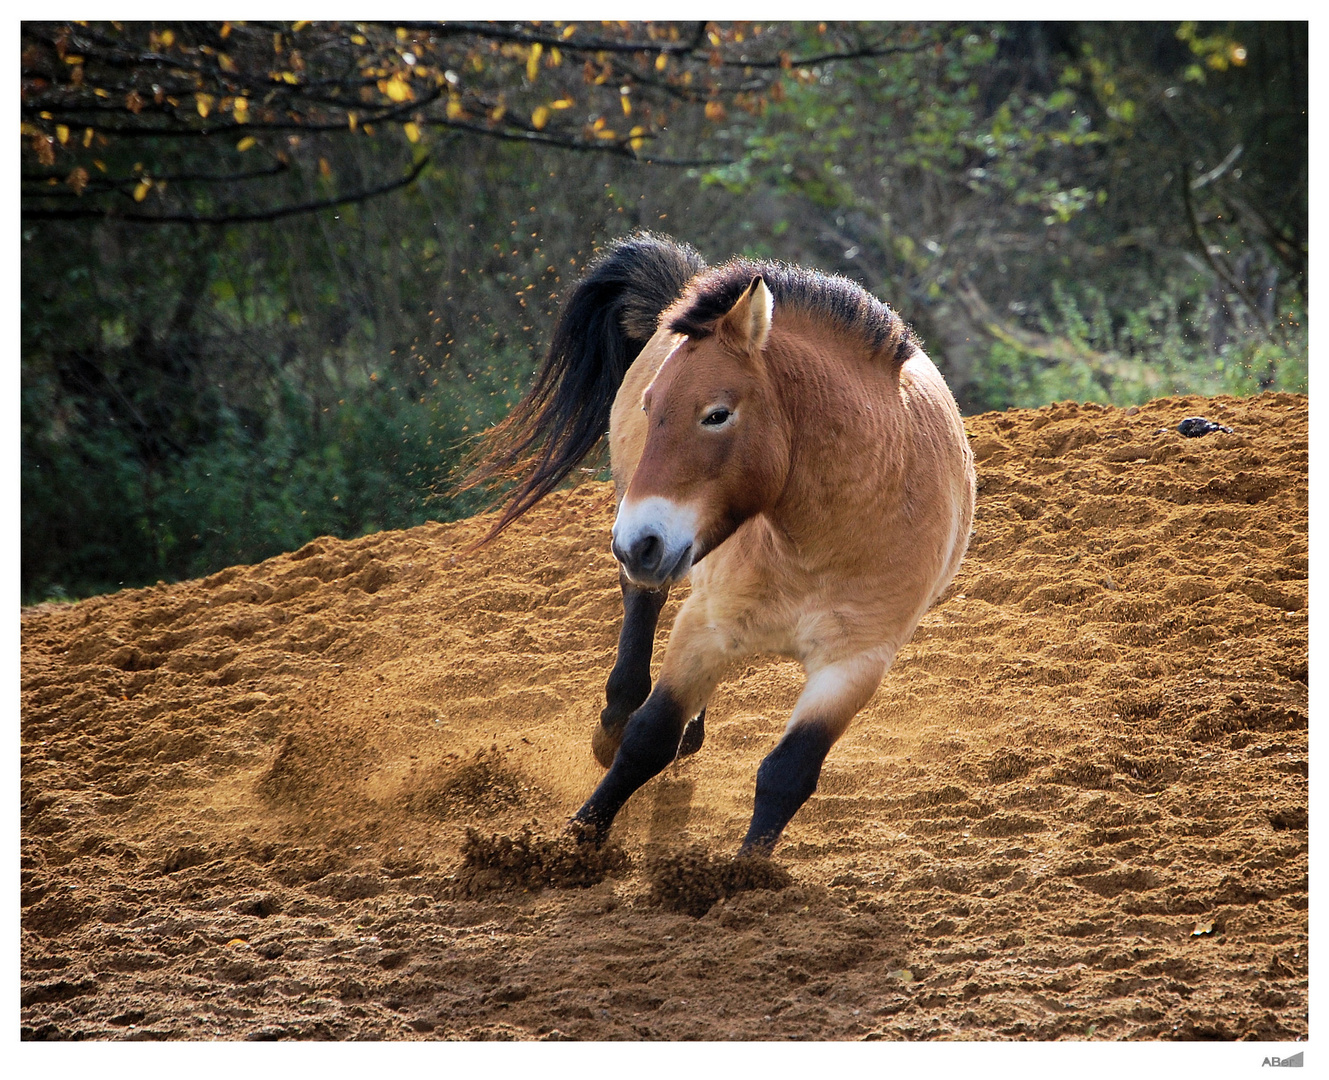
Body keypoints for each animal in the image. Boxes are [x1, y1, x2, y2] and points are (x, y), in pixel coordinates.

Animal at [467, 231, 978, 855]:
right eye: (651, 405)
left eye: (716, 414)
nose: (635, 542)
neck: (820, 545)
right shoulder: (705, 627)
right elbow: (648, 737)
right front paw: (577, 841)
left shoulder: (854, 665)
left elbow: (788, 773)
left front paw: (744, 869)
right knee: (642, 609)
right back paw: (616, 715)